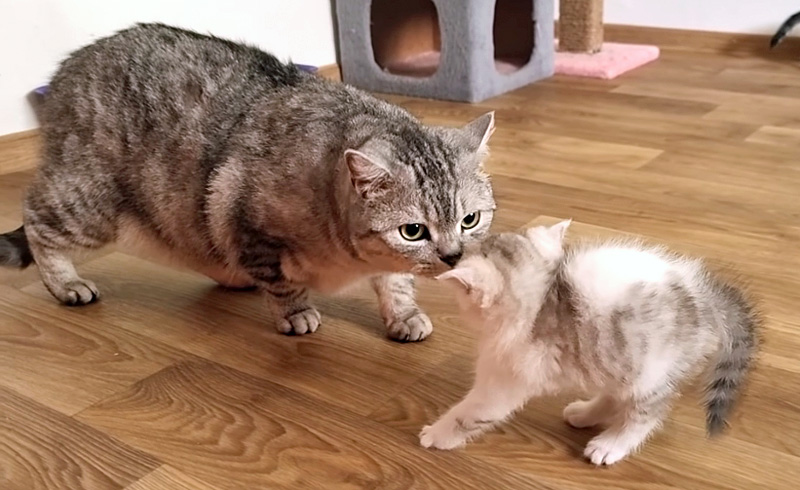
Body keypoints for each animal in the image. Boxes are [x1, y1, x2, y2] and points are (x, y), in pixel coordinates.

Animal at [0, 23, 496, 342]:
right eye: (413, 231)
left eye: (470, 220)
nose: (454, 256)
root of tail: (67, 67)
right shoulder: (247, 221)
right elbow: (281, 283)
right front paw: (296, 312)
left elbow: (396, 283)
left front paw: (404, 314)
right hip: (89, 201)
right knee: (36, 221)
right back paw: (66, 284)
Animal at [422, 220, 760, 466]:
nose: (451, 257)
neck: (540, 301)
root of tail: (707, 296)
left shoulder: (505, 381)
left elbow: (469, 414)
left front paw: (436, 434)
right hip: (614, 357)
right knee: (613, 393)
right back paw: (585, 413)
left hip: (651, 372)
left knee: (646, 413)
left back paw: (612, 444)